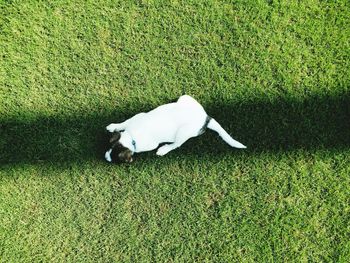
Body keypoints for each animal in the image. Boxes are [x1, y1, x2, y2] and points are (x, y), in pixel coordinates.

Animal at [105, 96, 245, 164]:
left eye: (115, 159)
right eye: (108, 147)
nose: (106, 157)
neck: (132, 137)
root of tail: (205, 118)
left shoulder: (150, 144)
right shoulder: (135, 118)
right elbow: (124, 123)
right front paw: (113, 126)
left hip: (184, 133)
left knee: (176, 144)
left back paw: (164, 149)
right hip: (186, 98)